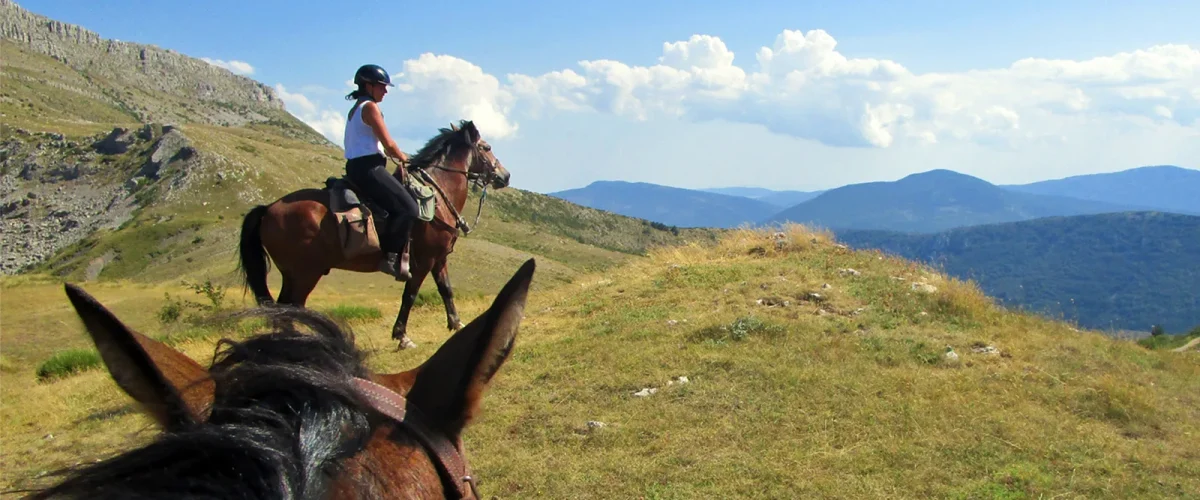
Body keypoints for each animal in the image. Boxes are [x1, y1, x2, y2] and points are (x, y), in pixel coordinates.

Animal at [238, 121, 511, 347]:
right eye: (486, 147)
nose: (505, 175)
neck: (435, 197)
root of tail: (268, 209)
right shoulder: (422, 261)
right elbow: (410, 295)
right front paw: (402, 336)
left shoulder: (439, 258)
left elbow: (446, 290)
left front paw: (456, 324)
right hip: (304, 273)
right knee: (289, 307)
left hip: (295, 275)